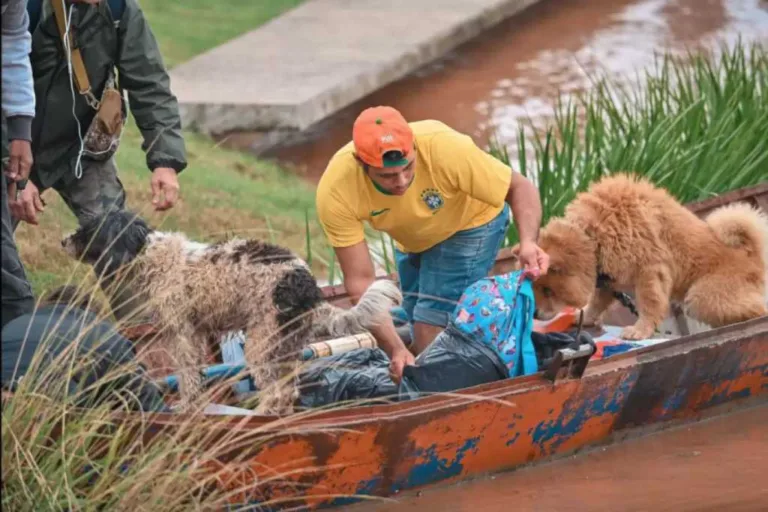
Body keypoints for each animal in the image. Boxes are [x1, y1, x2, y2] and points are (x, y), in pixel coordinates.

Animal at [60, 210, 402, 414]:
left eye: (87, 230)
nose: (62, 240)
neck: (149, 254)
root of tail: (308, 287)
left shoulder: (182, 333)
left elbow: (187, 376)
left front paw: (186, 407)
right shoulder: (198, 332)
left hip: (262, 344)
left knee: (276, 393)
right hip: (286, 347)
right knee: (288, 391)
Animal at [520, 174, 768, 338]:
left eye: (548, 290)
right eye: (534, 287)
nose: (534, 314)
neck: (593, 235)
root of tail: (753, 258)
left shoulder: (650, 272)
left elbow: (650, 305)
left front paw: (639, 331)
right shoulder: (608, 280)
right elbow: (597, 303)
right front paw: (586, 318)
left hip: (703, 298)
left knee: (756, 309)